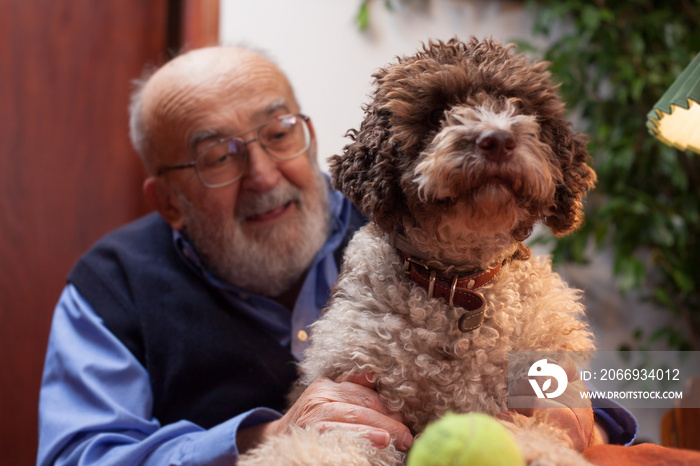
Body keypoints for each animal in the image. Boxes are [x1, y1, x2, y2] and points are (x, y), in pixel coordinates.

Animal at [243, 38, 600, 466]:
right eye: (436, 113)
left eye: (519, 106)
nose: (497, 139)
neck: (457, 287)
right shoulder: (359, 389)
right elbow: (328, 443)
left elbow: (546, 429)